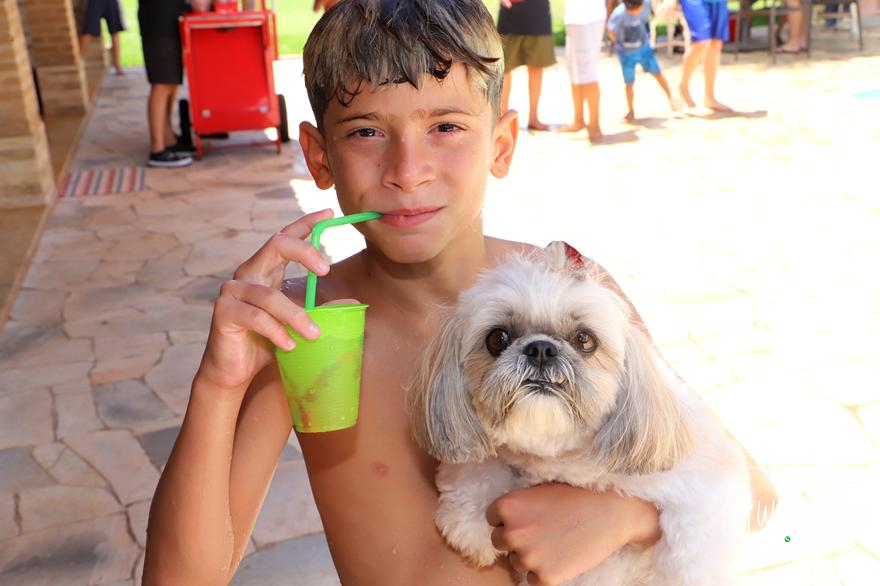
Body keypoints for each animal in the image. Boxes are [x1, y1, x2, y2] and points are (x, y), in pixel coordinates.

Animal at [407, 242, 751, 585]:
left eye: (585, 339)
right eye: (497, 338)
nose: (541, 349)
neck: (560, 459)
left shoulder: (707, 482)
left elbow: (693, 552)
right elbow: (476, 466)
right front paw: (471, 522)